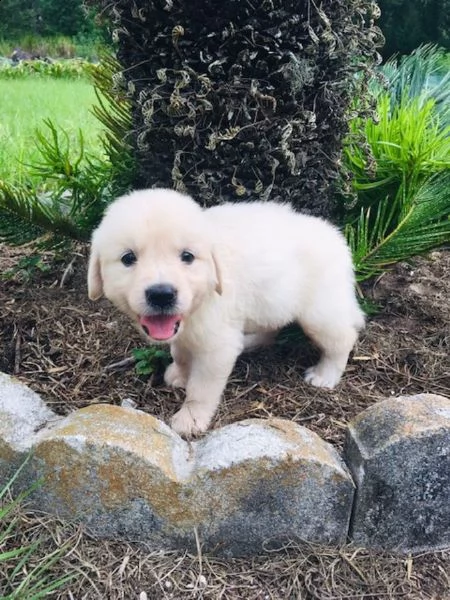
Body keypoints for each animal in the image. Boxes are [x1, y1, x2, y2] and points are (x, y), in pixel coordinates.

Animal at [88, 188, 366, 436]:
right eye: (128, 258)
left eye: (187, 256)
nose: (161, 294)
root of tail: (337, 239)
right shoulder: (183, 332)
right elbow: (180, 352)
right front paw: (179, 374)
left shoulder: (216, 347)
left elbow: (200, 389)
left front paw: (191, 419)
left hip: (320, 312)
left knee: (343, 338)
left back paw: (325, 374)